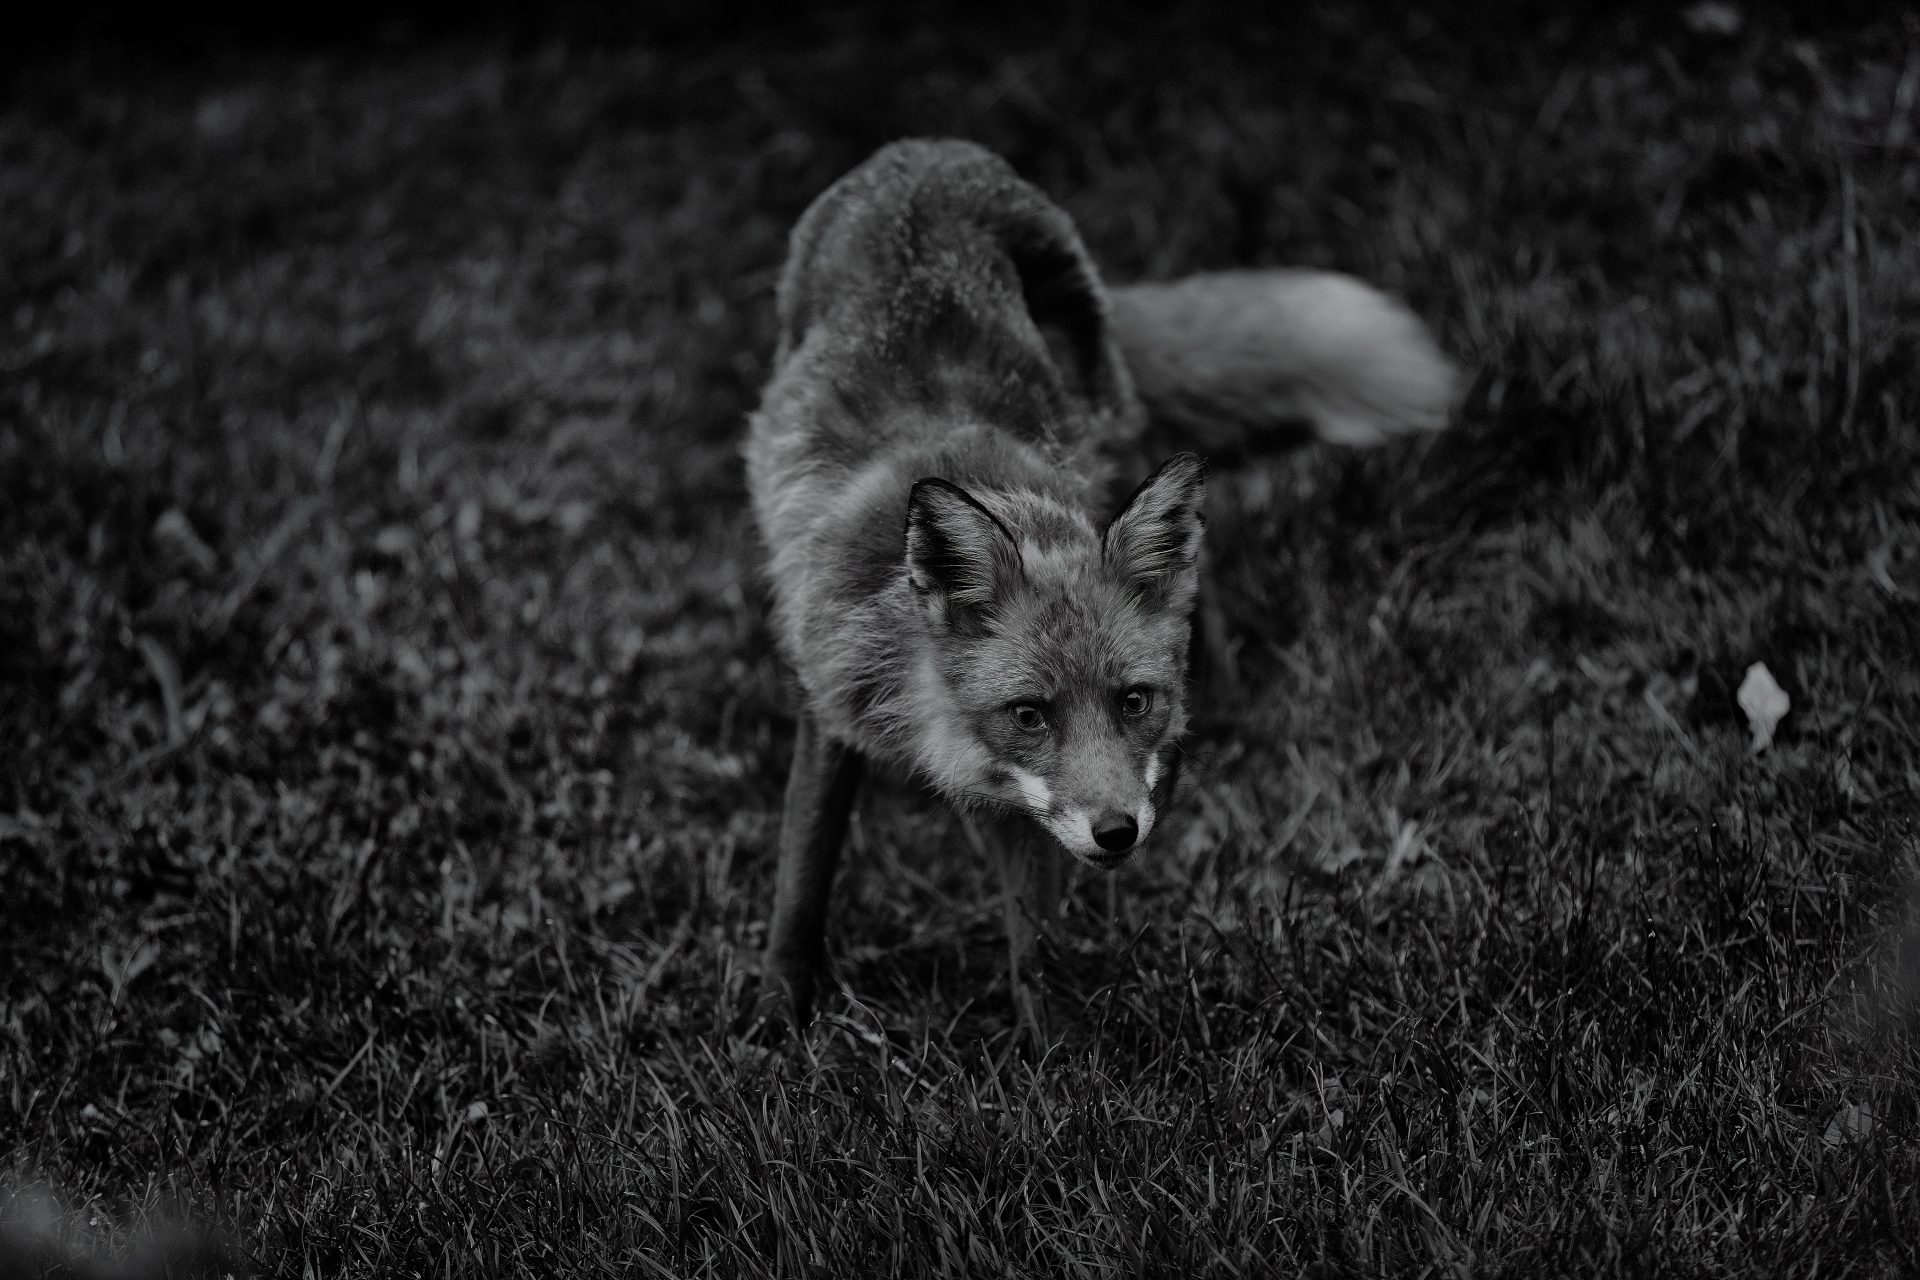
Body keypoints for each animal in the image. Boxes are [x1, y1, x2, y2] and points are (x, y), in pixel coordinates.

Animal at [744, 139, 1456, 1034]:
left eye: (1133, 700)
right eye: (1029, 715)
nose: (1118, 831)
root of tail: (928, 152)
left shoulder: (1017, 803)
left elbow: (1036, 946)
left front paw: (1054, 1058)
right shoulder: (830, 698)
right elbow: (800, 881)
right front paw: (774, 1020)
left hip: (1108, 421)